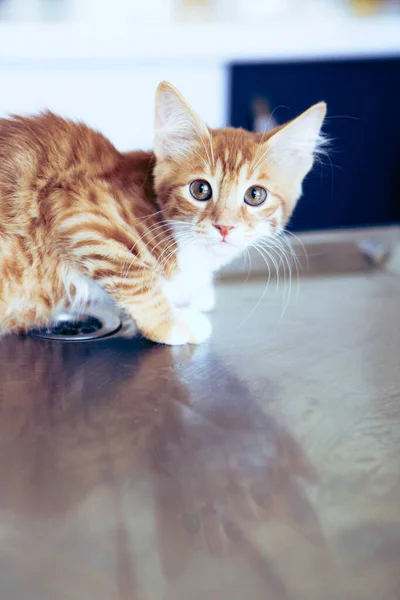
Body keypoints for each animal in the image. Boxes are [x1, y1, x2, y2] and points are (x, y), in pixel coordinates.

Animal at [0, 82, 324, 344]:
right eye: (200, 189)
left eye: (255, 195)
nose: (225, 227)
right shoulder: (80, 213)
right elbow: (135, 277)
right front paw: (170, 323)